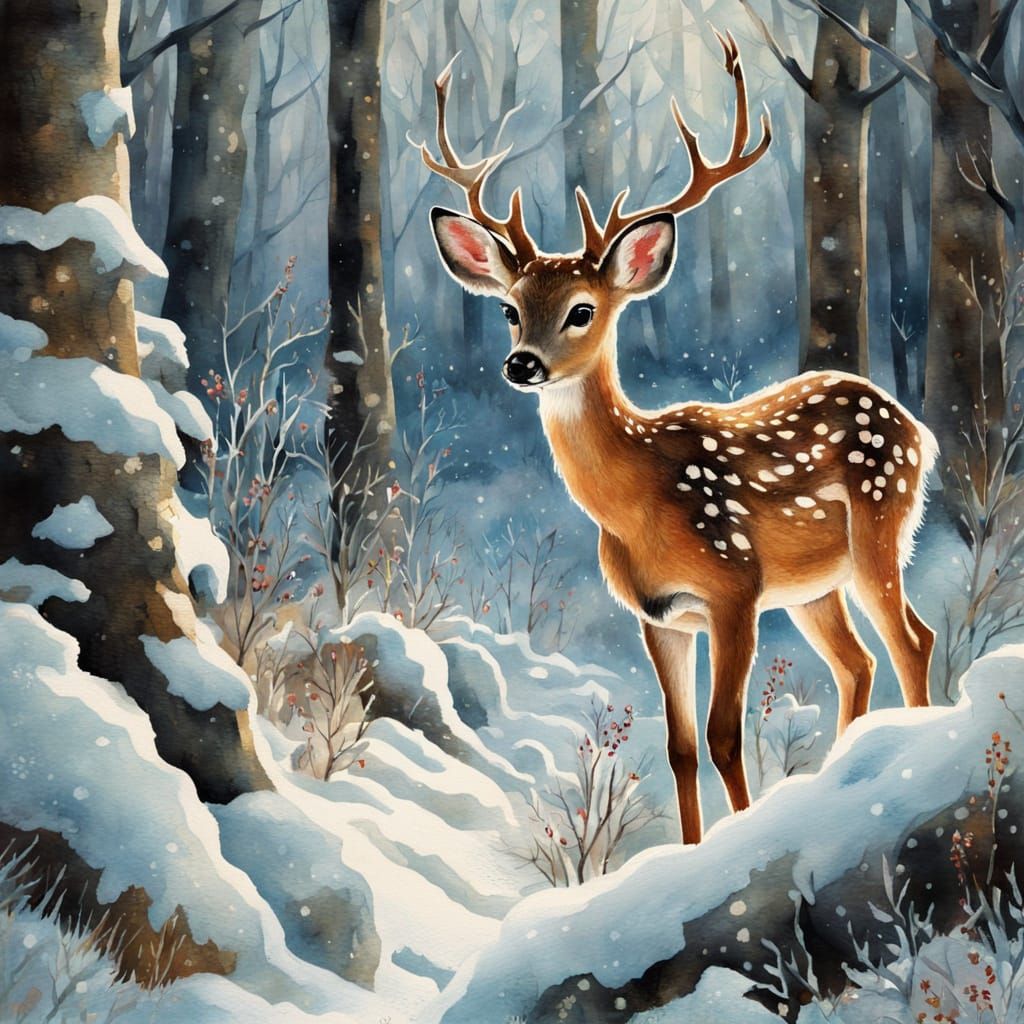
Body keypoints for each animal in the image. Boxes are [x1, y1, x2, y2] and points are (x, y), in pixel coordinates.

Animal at [418, 34, 937, 844]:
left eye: (581, 309)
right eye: (509, 308)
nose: (520, 363)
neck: (639, 501)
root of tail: (911, 421)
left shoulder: (734, 590)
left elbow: (725, 736)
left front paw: (741, 837)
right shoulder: (659, 616)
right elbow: (681, 747)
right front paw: (688, 850)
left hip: (877, 528)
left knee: (911, 641)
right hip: (816, 584)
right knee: (859, 663)